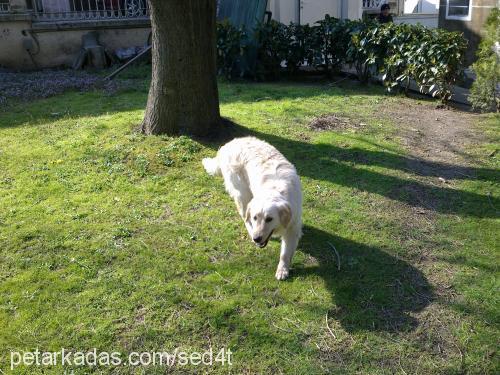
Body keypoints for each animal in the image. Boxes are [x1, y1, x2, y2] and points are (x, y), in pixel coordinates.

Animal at [202, 137, 302, 280]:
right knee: (244, 217)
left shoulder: (293, 227)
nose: (257, 238)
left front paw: (282, 270)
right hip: (242, 194)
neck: (275, 189)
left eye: (269, 219)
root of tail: (229, 144)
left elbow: (285, 254)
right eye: (255, 218)